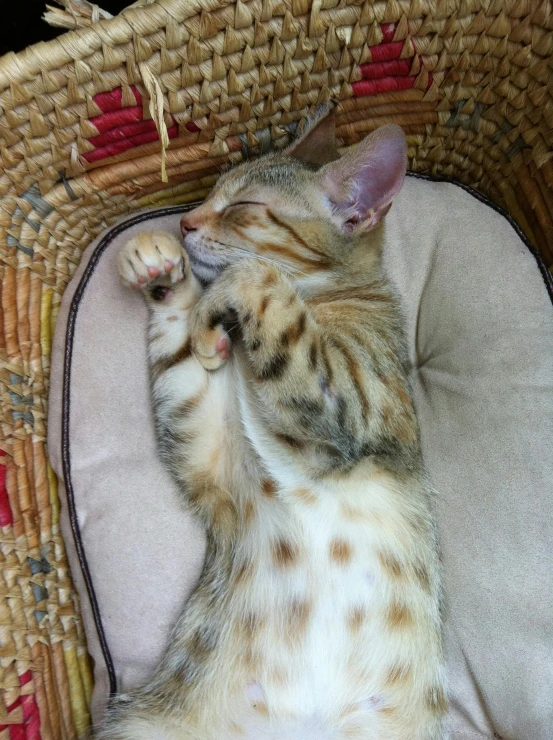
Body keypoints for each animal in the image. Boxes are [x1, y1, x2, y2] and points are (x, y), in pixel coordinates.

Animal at [101, 111, 446, 740]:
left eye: (243, 207)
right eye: (211, 192)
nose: (183, 221)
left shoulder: (353, 405)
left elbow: (257, 277)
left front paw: (216, 303)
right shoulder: (207, 449)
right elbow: (182, 365)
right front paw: (161, 272)